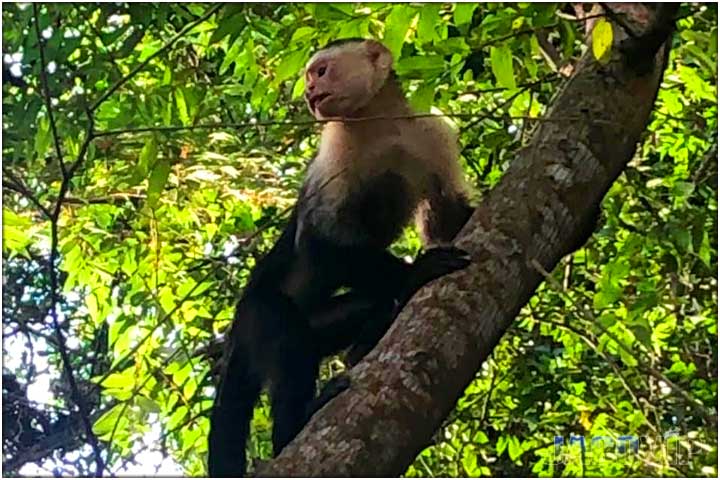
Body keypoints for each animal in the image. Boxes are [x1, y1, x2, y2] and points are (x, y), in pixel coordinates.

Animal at [205, 38, 476, 476]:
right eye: (309, 75)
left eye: (320, 71)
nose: (309, 92)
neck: (377, 123)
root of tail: (236, 334)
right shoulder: (334, 148)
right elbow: (322, 243)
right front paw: (417, 270)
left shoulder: (431, 133)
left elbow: (446, 219)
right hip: (256, 315)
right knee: (287, 341)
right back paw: (294, 426)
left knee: (360, 309)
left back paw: (365, 341)